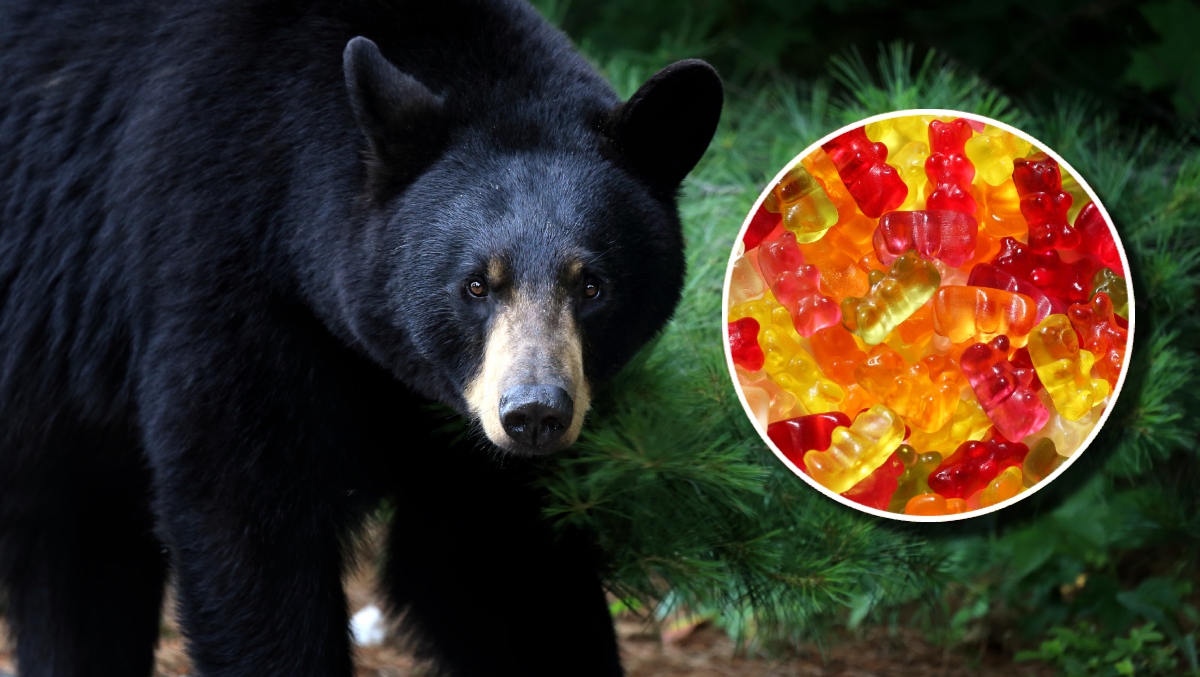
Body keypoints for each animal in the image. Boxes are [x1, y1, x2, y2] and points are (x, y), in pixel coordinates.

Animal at [0, 0, 722, 675]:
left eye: (591, 285)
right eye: (476, 285)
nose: (535, 413)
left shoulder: (455, 419)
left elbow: (498, 561)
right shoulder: (217, 269)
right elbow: (246, 523)